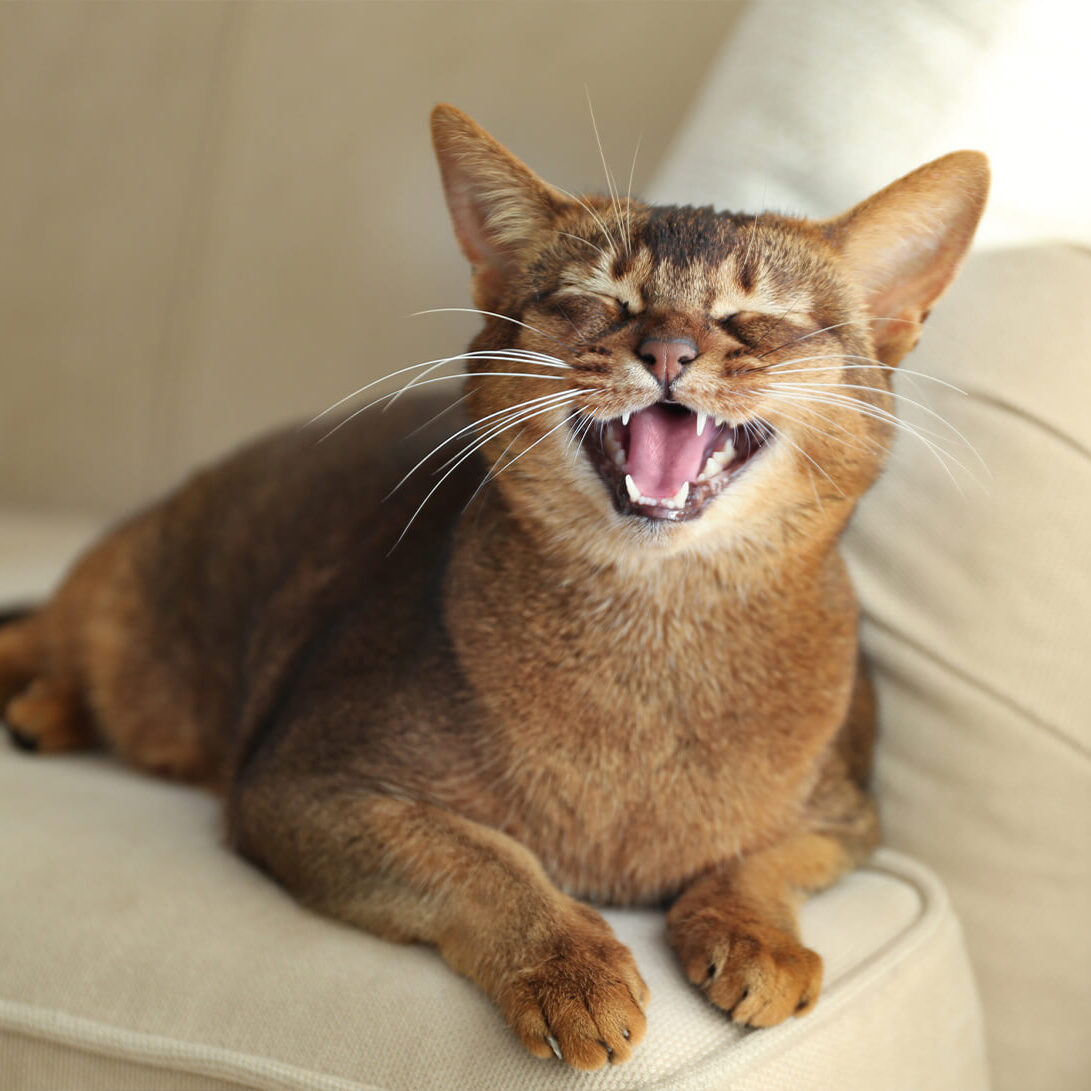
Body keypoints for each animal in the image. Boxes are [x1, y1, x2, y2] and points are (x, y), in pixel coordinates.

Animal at [0, 106, 990, 1069]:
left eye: (757, 314)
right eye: (600, 298)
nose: (668, 350)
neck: (651, 638)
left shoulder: (853, 819)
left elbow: (764, 860)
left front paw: (757, 936)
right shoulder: (301, 786)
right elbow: (485, 857)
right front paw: (568, 967)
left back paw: (47, 714)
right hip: (125, 604)